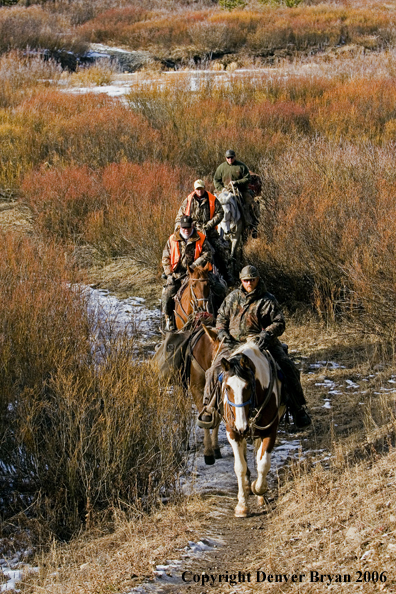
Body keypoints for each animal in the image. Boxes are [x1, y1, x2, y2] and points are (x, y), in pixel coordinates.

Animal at [217, 340, 284, 516]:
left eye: (247, 387)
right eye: (227, 387)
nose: (242, 427)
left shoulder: (270, 431)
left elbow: (263, 463)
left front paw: (259, 489)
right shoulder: (233, 433)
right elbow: (240, 467)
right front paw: (242, 506)